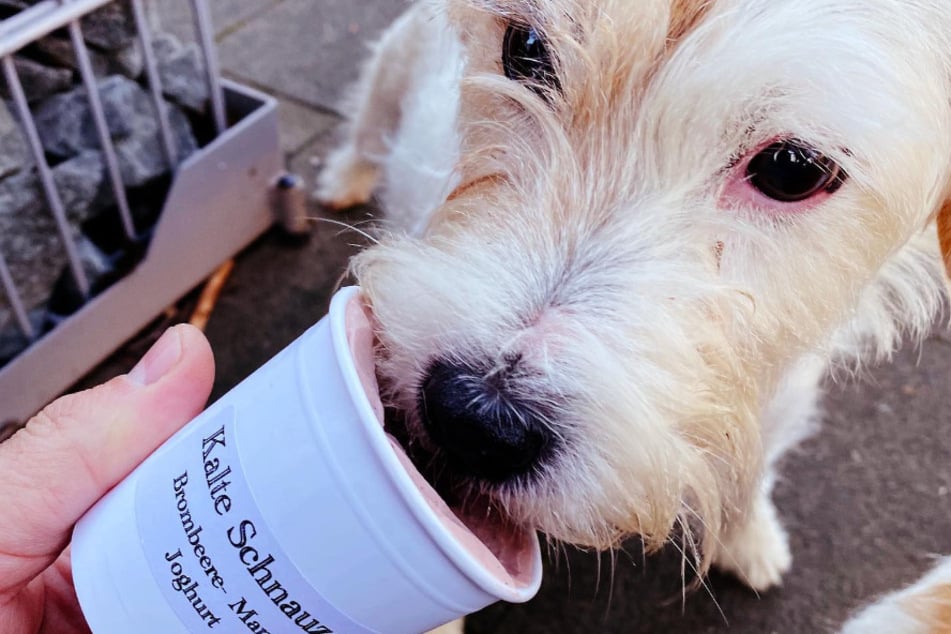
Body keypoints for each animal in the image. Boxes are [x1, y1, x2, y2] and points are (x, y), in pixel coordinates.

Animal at [318, 1, 951, 628]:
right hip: (394, 68)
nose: (473, 420)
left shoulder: (780, 399)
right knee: (366, 121)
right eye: (526, 49)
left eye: (793, 170)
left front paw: (749, 541)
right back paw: (344, 177)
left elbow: (751, 473)